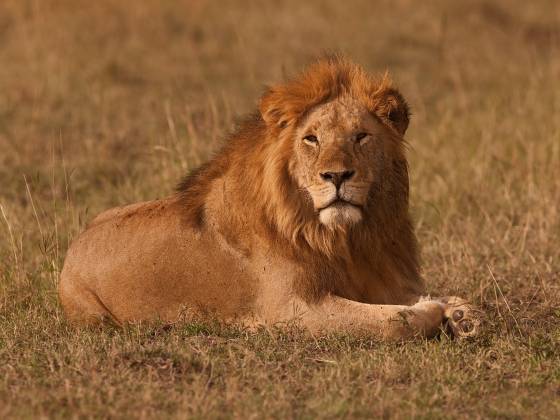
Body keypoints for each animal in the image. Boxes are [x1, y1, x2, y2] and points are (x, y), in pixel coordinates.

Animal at [60, 57, 482, 340]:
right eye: (311, 139)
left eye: (361, 136)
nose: (337, 176)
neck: (344, 239)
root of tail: (73, 246)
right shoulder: (293, 309)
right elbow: (394, 321)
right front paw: (434, 311)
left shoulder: (374, 276)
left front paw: (461, 312)